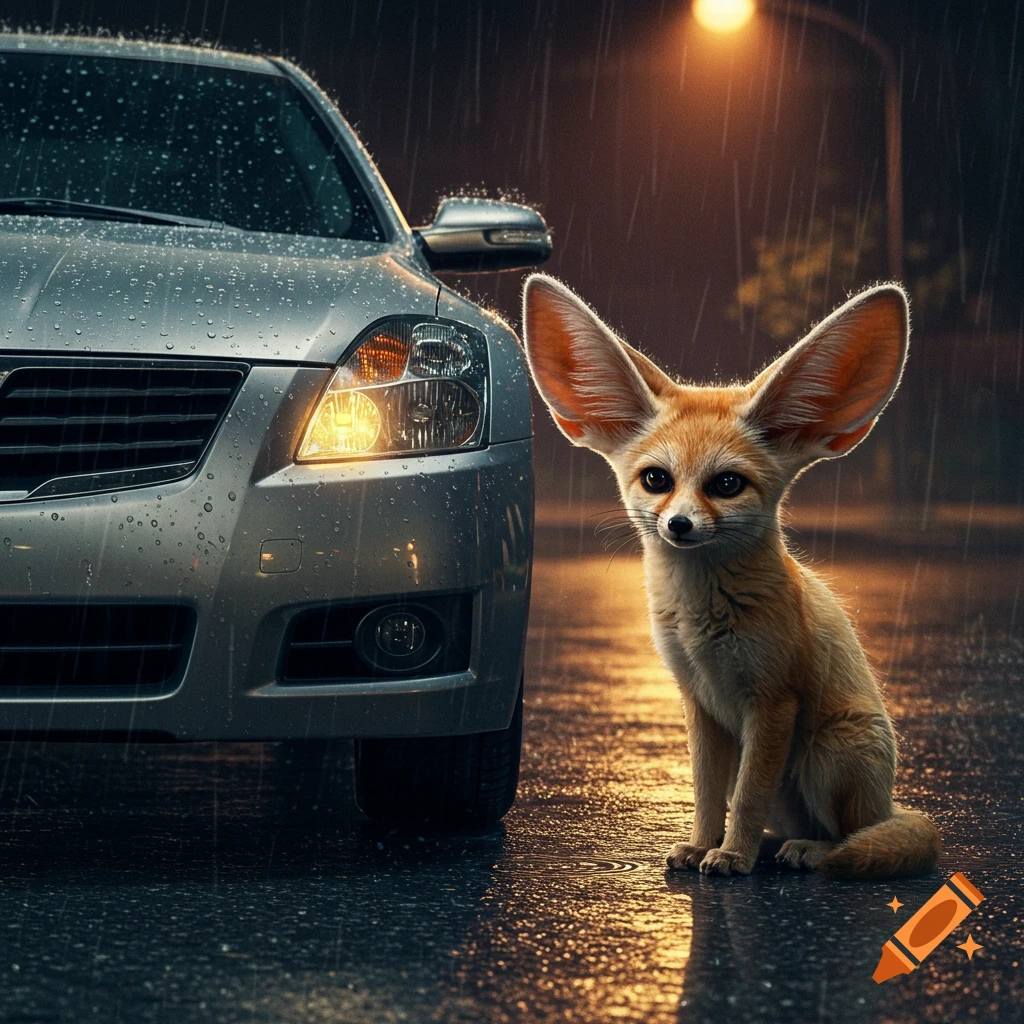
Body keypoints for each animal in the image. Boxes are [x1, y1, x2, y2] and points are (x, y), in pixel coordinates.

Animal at [521, 273, 941, 879]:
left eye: (726, 485)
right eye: (657, 479)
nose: (678, 524)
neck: (705, 625)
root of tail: (890, 803)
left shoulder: (773, 703)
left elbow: (744, 796)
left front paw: (732, 857)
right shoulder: (697, 703)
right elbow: (706, 794)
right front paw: (703, 845)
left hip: (828, 751)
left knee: (849, 833)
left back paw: (808, 851)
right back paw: (773, 844)